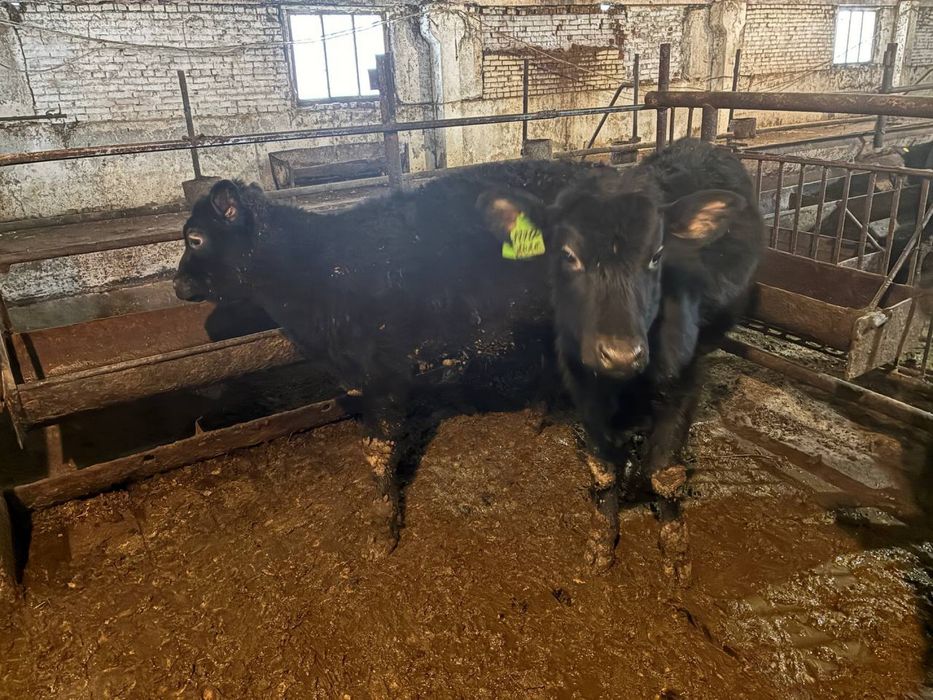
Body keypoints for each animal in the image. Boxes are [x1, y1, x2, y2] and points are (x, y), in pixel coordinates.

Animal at [173, 159, 615, 560]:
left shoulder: (380, 376)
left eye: (195, 238)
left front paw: (382, 528)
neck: (319, 271)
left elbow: (376, 450)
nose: (177, 285)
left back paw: (602, 537)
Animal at [481, 139, 764, 576]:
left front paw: (675, 547)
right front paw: (601, 539)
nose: (620, 354)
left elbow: (665, 472)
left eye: (657, 254)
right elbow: (602, 469)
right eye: (568, 255)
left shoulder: (685, 378)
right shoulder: (582, 381)